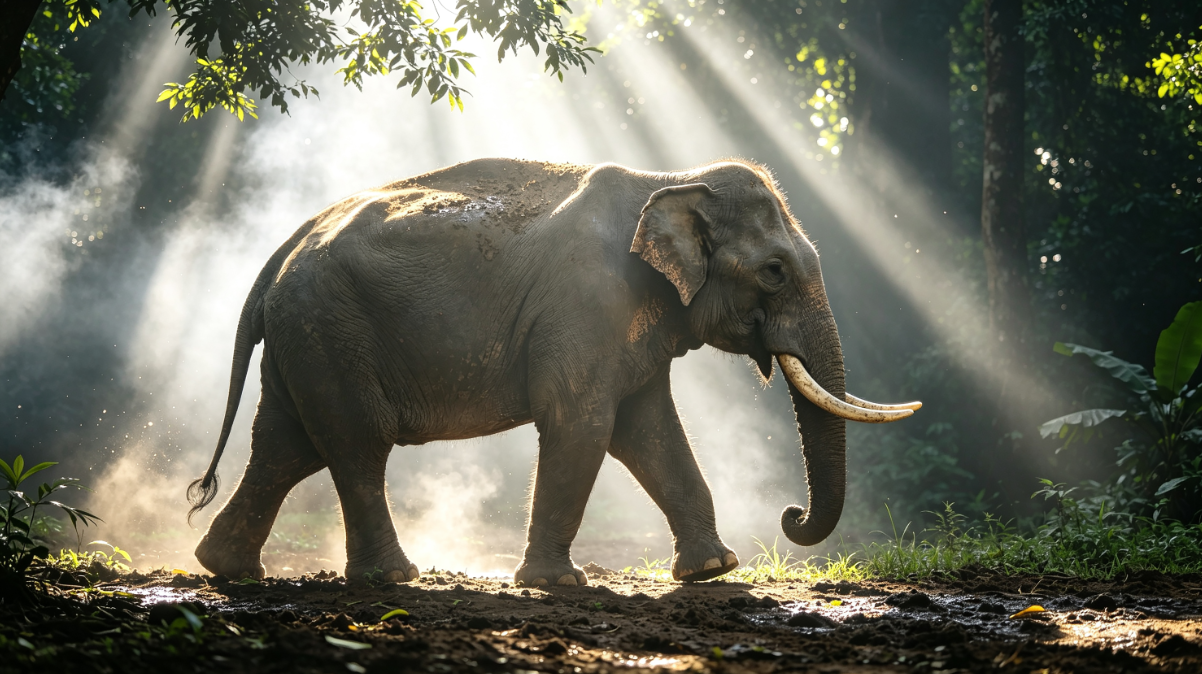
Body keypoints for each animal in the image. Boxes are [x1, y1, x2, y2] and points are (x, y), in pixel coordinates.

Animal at [187, 158, 918, 586]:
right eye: (773, 271)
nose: (791, 515)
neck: (671, 174)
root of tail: (283, 249)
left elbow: (650, 432)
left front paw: (712, 569)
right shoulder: (586, 302)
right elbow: (582, 423)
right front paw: (554, 584)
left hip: (306, 337)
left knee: (287, 446)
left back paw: (226, 569)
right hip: (330, 329)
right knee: (355, 442)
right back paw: (394, 579)